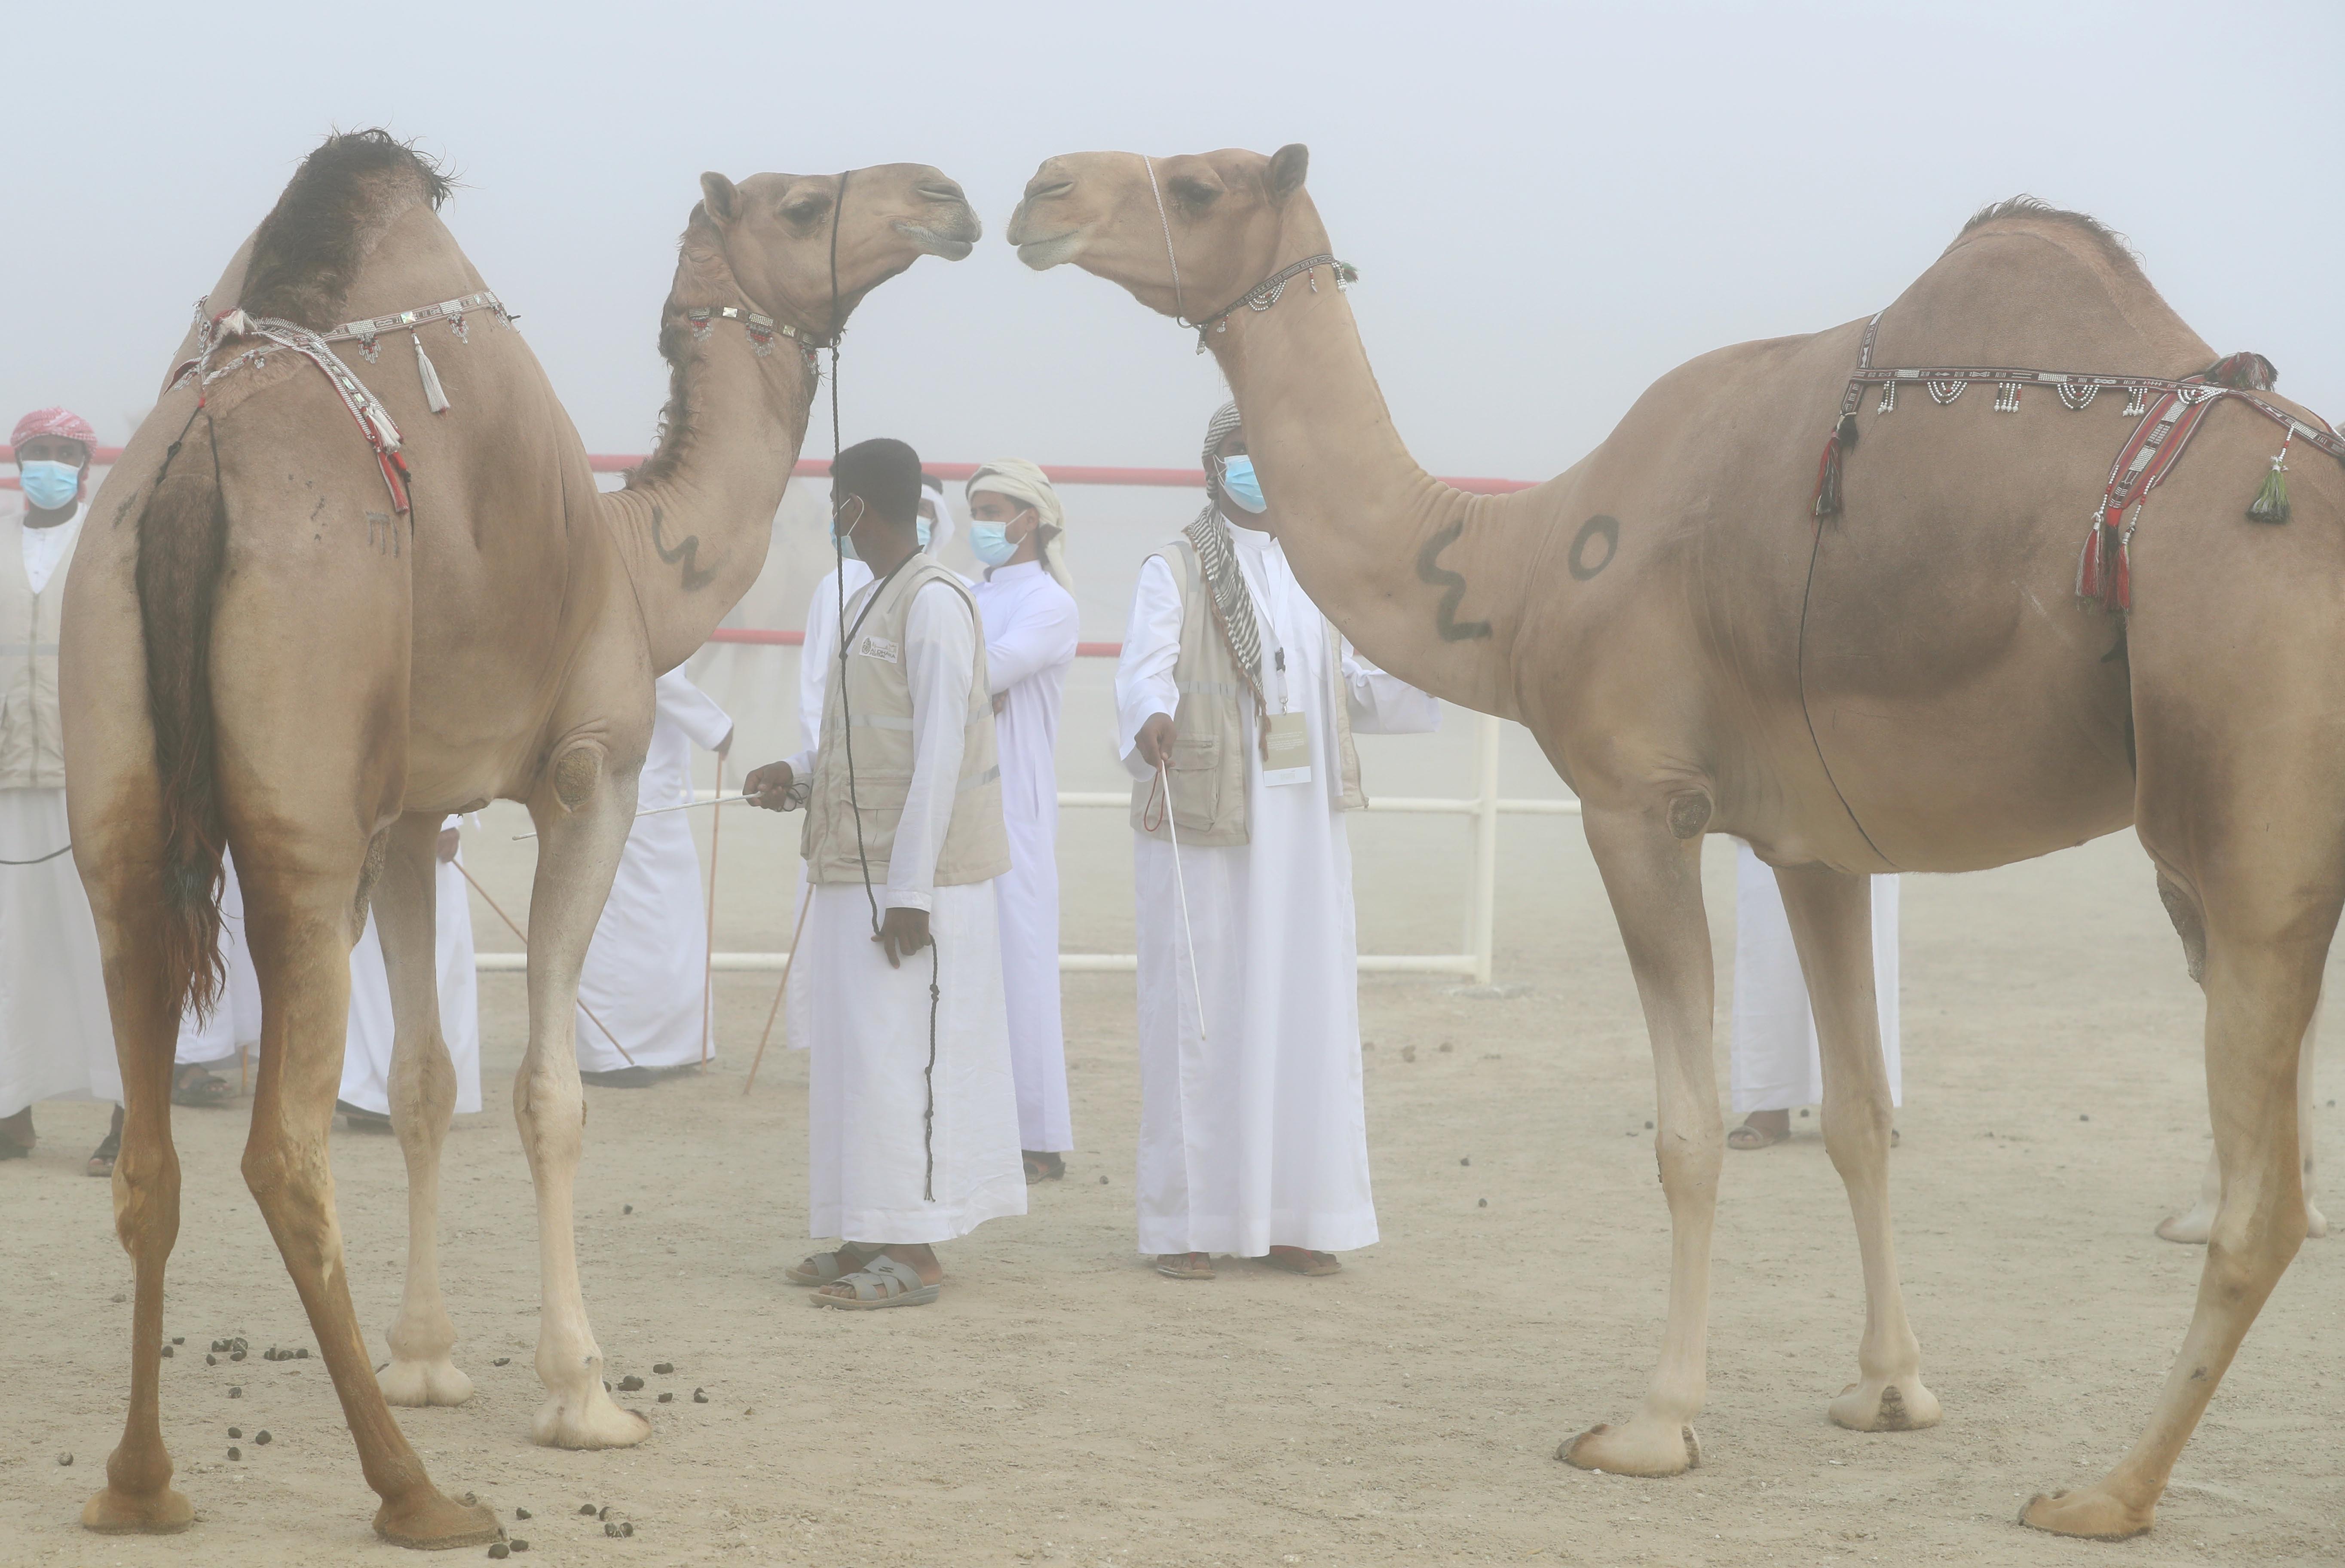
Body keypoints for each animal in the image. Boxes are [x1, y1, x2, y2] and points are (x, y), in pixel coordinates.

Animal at [66, 131, 980, 1537]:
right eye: (801, 204)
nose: (944, 197)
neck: (634, 559)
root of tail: (189, 489)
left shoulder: (409, 816)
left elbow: (427, 1082)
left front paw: (429, 1361)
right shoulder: (587, 774)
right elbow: (550, 1093)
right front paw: (581, 1393)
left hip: (118, 791)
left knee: (153, 1153)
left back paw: (140, 1483)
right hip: (299, 829)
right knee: (281, 1152)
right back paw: (413, 1492)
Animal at [1017, 141, 2345, 1537]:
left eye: (1199, 184)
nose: (1043, 192)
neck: (1522, 567)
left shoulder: (1634, 802)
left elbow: (1687, 1133)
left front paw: (1650, 1424)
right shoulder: (1814, 844)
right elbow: (1858, 1115)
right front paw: (1889, 1389)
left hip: (2251, 846)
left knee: (2263, 1206)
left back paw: (2106, 1490)